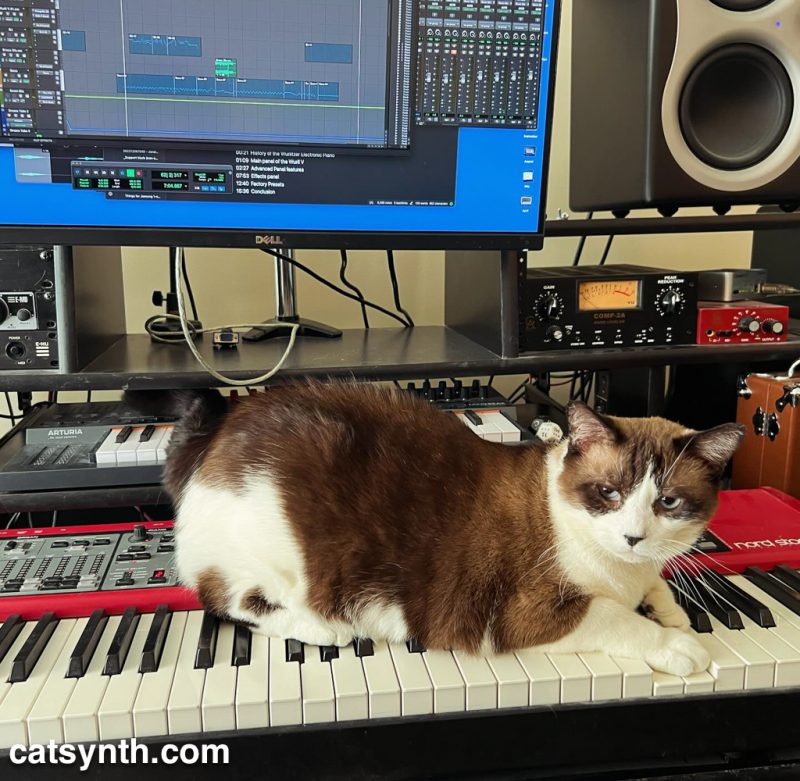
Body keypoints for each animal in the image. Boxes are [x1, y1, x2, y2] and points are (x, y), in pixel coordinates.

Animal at [138, 384, 744, 676]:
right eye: (609, 494)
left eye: (668, 502)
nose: (634, 537)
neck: (619, 569)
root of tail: (213, 438)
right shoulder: (529, 613)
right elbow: (621, 619)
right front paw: (681, 644)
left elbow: (660, 589)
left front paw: (678, 614)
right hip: (276, 553)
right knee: (228, 598)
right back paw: (324, 629)